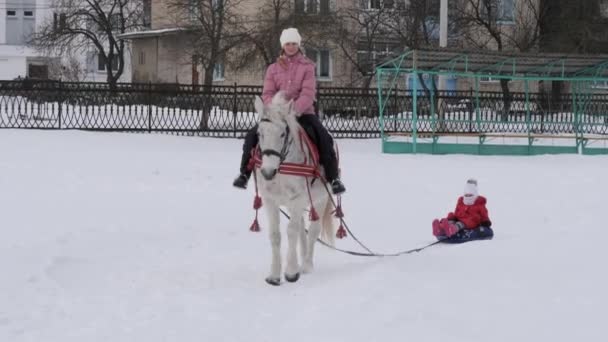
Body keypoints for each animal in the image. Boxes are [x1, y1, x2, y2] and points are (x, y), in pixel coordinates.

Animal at [252, 91, 338, 286]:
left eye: (283, 133)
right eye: (260, 133)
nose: (268, 172)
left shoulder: (298, 198)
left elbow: (291, 232)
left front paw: (291, 272)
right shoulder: (270, 200)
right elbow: (276, 235)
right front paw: (275, 275)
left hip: (320, 200)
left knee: (312, 231)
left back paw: (306, 265)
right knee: (301, 229)